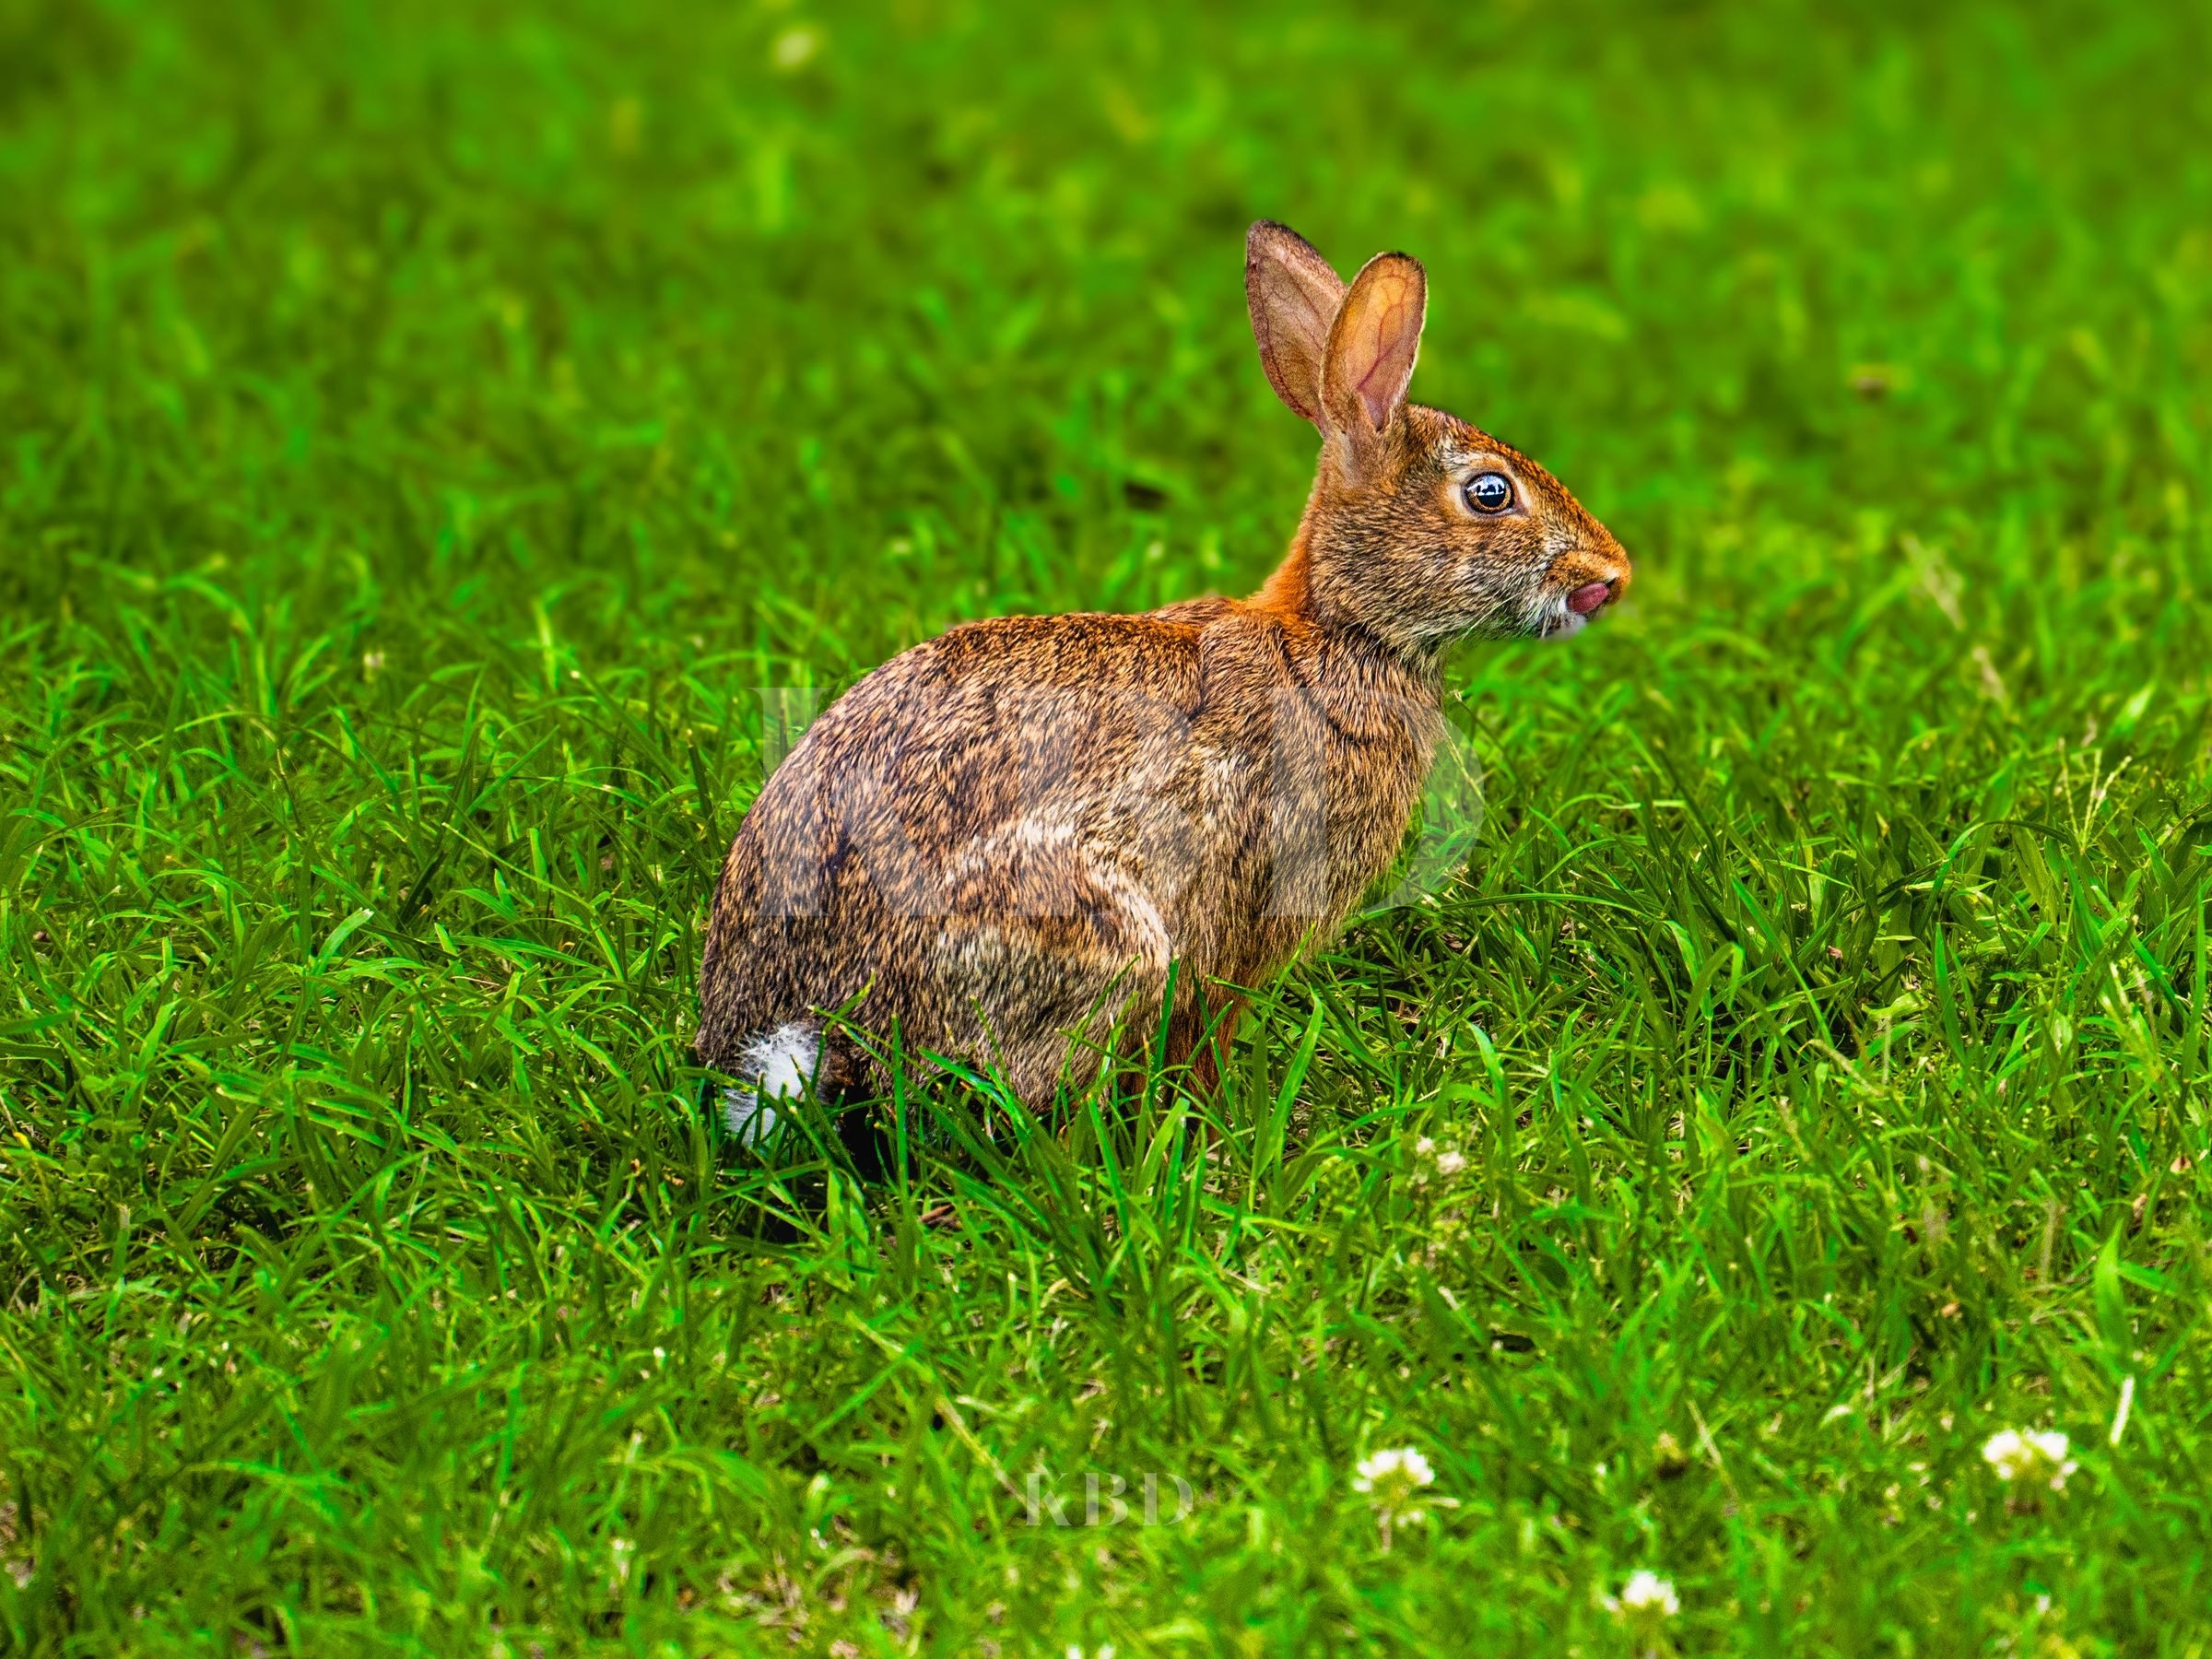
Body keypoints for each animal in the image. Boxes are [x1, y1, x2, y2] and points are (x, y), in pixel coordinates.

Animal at [697, 220, 1630, 1133]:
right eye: (1489, 494)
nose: (1610, 576)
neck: (1338, 633)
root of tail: (802, 1038)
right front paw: (1215, 1130)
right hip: (1102, 941)